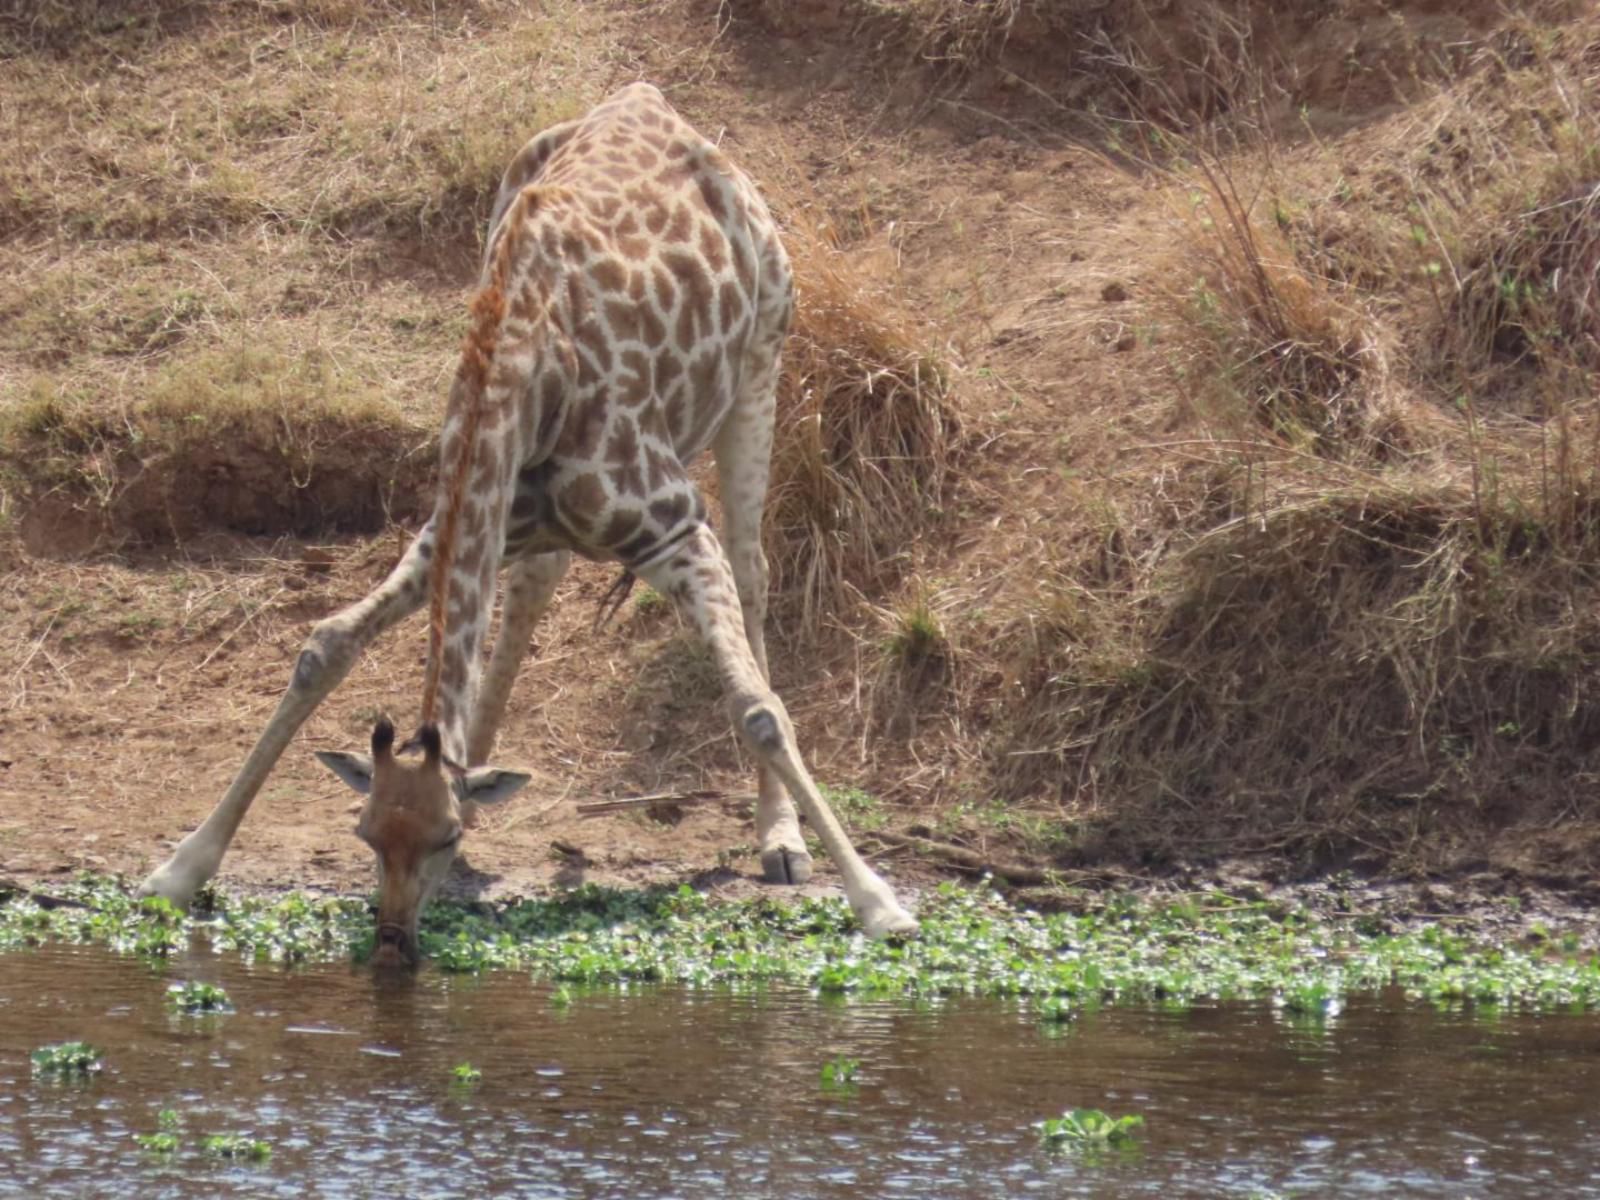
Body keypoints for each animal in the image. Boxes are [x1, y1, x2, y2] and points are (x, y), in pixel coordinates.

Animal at [140, 82, 915, 966]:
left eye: (439, 840)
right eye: (367, 834)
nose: (393, 943)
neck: (520, 373)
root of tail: (654, 99)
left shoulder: (677, 528)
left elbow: (757, 708)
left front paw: (880, 902)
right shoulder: (455, 526)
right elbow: (325, 645)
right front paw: (179, 868)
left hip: (763, 363)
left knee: (755, 577)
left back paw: (780, 840)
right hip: (552, 521)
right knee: (534, 588)